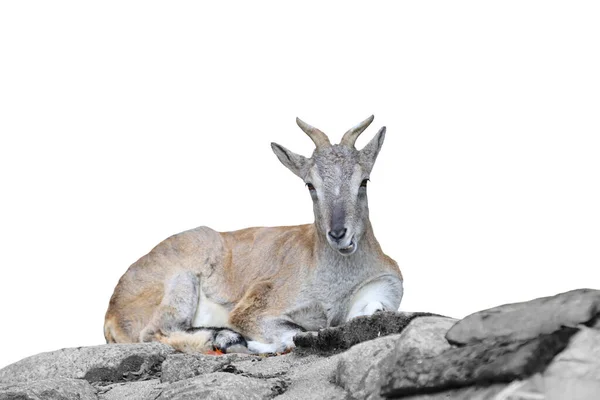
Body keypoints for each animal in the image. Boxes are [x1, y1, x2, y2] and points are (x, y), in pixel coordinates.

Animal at [104, 115, 404, 354]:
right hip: (181, 280)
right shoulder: (256, 307)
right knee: (154, 332)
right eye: (310, 185)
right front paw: (258, 344)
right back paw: (226, 339)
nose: (339, 233)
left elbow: (373, 311)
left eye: (364, 180)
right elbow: (293, 332)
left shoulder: (381, 290)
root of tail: (112, 312)